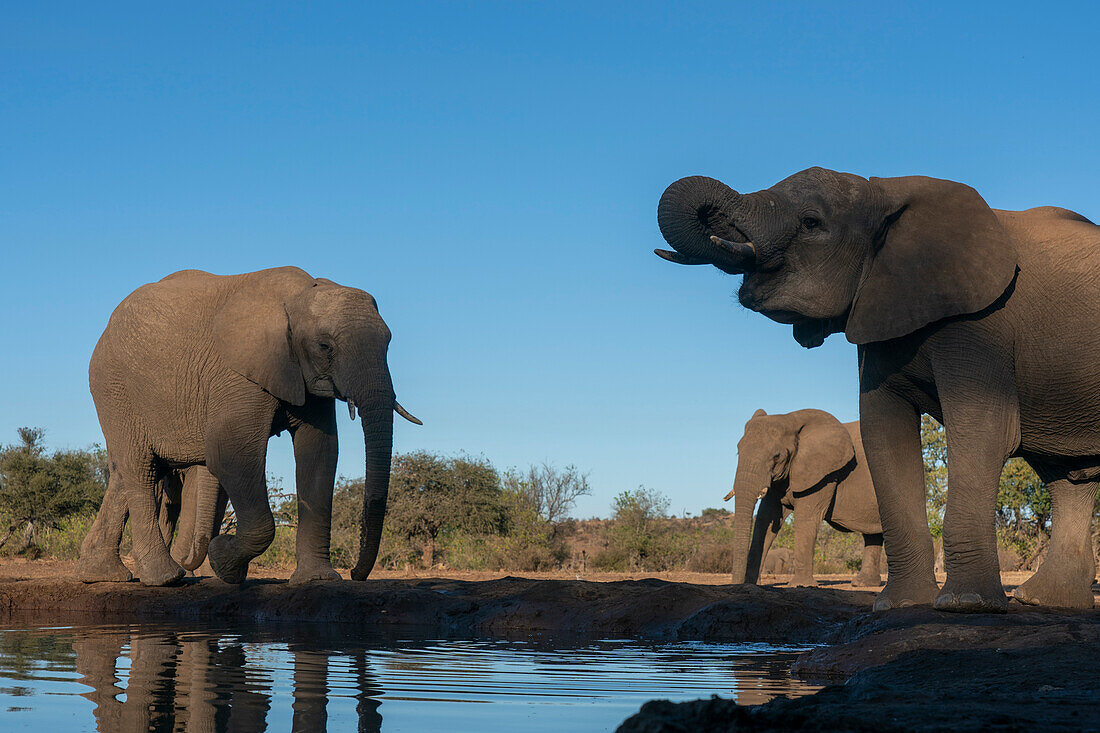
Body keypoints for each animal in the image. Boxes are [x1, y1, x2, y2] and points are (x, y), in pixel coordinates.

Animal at [78, 265, 420, 585]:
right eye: (325, 346)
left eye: (389, 342)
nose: (354, 573)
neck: (300, 294)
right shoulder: (238, 373)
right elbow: (231, 454)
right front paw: (223, 561)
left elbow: (319, 454)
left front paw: (317, 579)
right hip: (114, 387)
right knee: (140, 467)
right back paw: (166, 578)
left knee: (125, 471)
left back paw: (101, 574)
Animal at [730, 407, 884, 585]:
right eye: (738, 451)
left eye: (777, 456)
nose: (738, 583)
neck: (791, 419)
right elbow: (765, 518)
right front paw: (751, 584)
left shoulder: (824, 474)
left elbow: (806, 517)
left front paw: (800, 585)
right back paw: (863, 583)